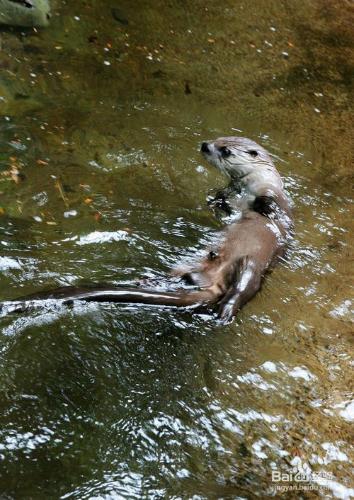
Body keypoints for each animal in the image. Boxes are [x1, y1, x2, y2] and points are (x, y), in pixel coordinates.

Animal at [0, 138, 294, 324]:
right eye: (218, 138)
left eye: (225, 149)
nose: (205, 145)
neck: (252, 188)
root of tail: (210, 283)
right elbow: (222, 202)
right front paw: (217, 202)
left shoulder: (274, 198)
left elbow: (275, 212)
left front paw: (265, 208)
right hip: (192, 264)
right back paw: (151, 281)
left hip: (251, 263)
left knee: (242, 288)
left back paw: (225, 311)